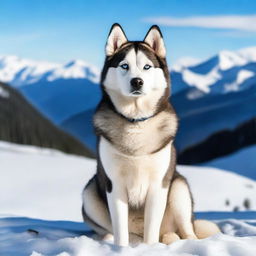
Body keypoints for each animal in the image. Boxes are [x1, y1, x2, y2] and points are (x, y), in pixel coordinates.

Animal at [82, 23, 220, 246]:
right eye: (124, 66)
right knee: (113, 230)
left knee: (186, 230)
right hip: (89, 194)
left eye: (147, 67)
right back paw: (109, 237)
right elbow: (120, 229)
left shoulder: (158, 185)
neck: (136, 122)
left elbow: (151, 231)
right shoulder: (114, 185)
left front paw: (149, 248)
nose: (136, 82)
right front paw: (120, 248)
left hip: (179, 188)